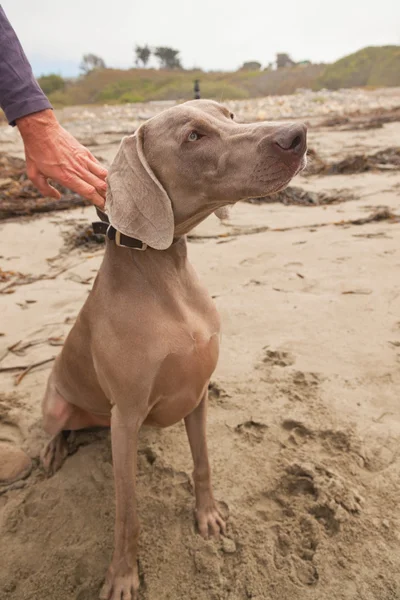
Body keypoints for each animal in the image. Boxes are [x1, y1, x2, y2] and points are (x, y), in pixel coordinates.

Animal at [40, 99, 306, 600]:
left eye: (230, 115)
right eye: (193, 137)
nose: (297, 134)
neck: (165, 271)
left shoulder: (197, 392)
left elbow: (202, 463)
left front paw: (209, 516)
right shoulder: (125, 416)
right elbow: (127, 513)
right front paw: (122, 575)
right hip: (58, 403)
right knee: (54, 427)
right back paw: (51, 452)